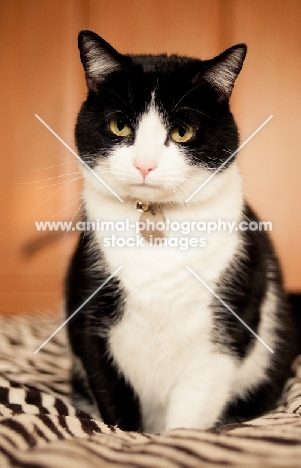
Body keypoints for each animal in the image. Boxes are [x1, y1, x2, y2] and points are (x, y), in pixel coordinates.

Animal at [65, 28, 298, 432]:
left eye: (182, 132)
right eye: (120, 126)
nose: (145, 165)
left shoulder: (224, 330)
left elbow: (191, 412)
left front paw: (173, 439)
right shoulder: (89, 314)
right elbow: (113, 401)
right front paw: (128, 437)